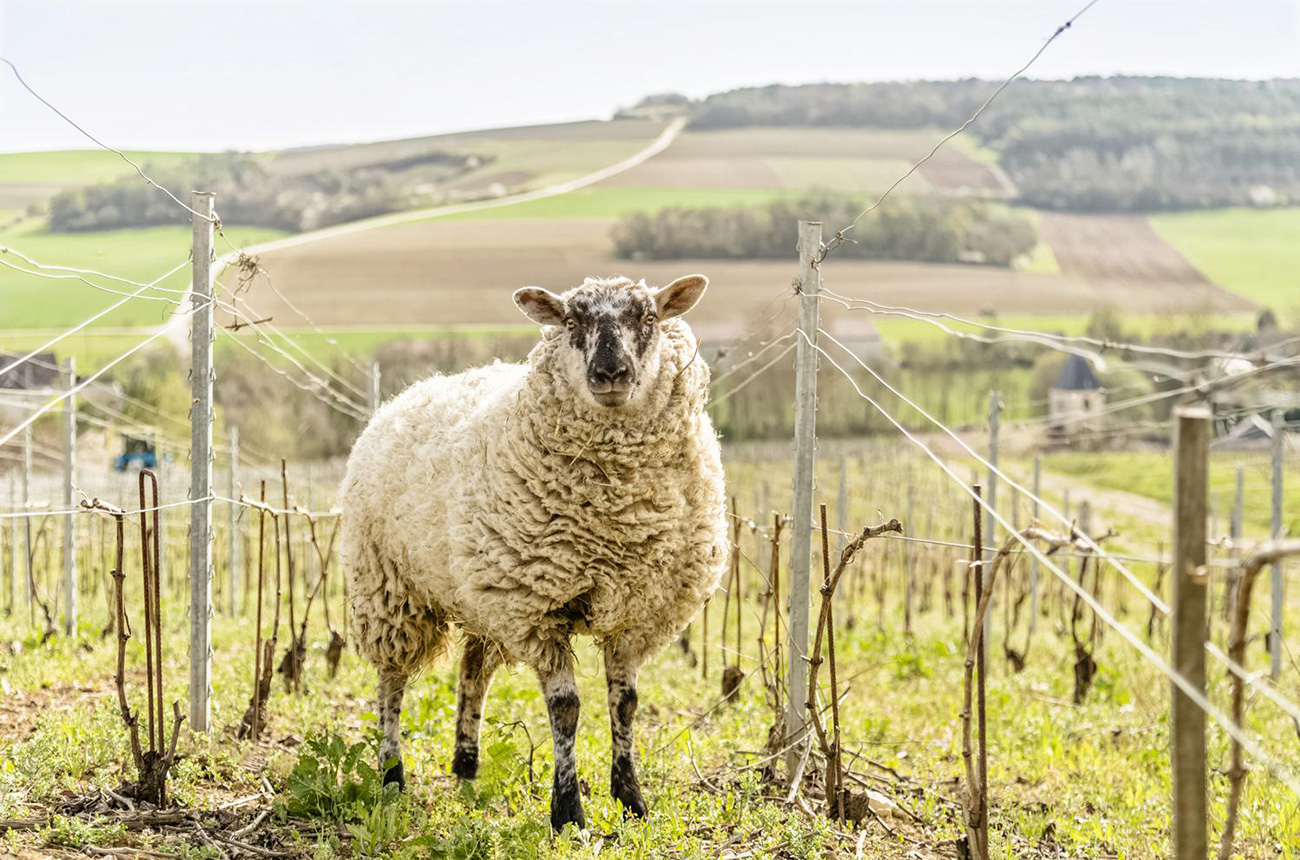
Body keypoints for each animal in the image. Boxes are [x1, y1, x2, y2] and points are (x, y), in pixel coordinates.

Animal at [341, 274, 728, 830]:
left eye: (649, 318)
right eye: (570, 320)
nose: (610, 373)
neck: (618, 515)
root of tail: (410, 391)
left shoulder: (637, 611)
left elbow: (626, 703)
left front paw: (630, 800)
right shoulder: (536, 610)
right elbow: (566, 707)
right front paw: (567, 811)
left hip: (483, 600)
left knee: (472, 673)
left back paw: (466, 767)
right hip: (390, 590)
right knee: (391, 682)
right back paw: (392, 775)